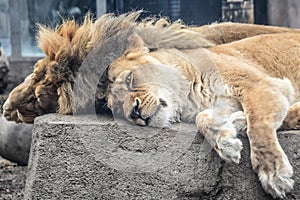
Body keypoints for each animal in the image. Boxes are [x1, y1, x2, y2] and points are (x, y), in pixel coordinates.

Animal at [102, 31, 300, 198]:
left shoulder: (260, 85)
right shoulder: (223, 103)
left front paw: (274, 173)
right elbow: (202, 119)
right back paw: (239, 121)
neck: (189, 97)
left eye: (129, 79)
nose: (134, 113)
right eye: (118, 109)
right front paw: (225, 142)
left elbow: (259, 128)